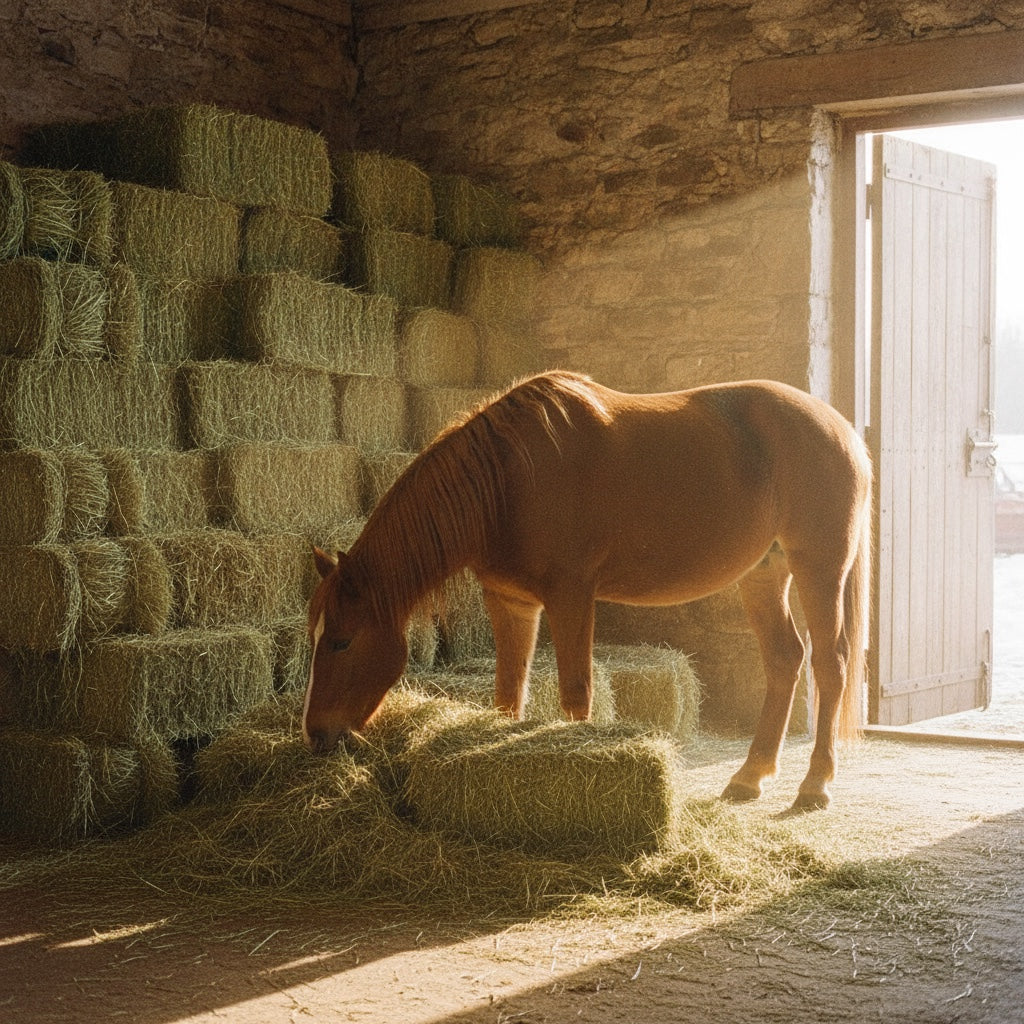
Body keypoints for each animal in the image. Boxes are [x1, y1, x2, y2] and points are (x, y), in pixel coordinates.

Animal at [304, 370, 871, 810]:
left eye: (341, 641)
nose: (315, 734)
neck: (508, 480)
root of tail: (843, 429)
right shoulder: (512, 603)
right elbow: (508, 695)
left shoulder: (570, 596)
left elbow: (577, 692)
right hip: (763, 574)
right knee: (785, 659)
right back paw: (749, 777)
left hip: (820, 567)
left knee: (831, 663)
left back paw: (814, 785)